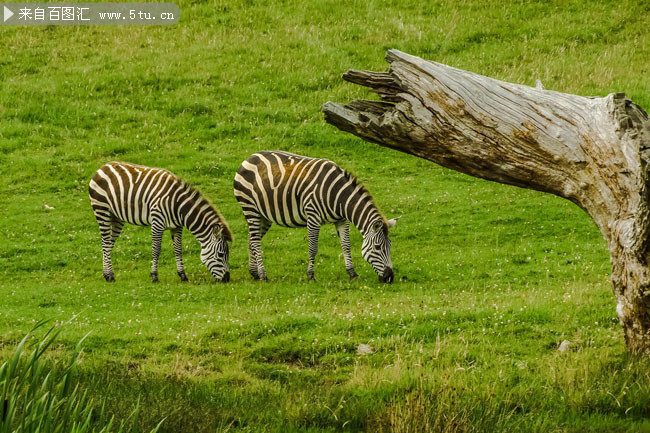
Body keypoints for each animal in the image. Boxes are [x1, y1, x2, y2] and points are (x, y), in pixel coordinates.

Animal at [87, 160, 232, 282]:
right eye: (220, 254)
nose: (227, 279)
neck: (178, 205)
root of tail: (103, 166)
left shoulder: (177, 227)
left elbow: (178, 249)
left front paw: (183, 275)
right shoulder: (157, 222)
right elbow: (156, 250)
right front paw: (154, 276)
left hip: (116, 218)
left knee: (108, 244)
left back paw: (107, 273)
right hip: (102, 211)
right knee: (105, 243)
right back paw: (109, 276)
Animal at [233, 150, 394, 282]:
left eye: (390, 246)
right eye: (378, 247)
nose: (390, 278)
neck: (338, 196)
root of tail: (249, 158)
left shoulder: (342, 220)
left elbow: (346, 245)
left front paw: (352, 273)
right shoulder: (313, 216)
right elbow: (313, 248)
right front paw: (310, 275)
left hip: (264, 215)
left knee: (251, 238)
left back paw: (254, 273)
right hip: (250, 208)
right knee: (255, 241)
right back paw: (263, 275)